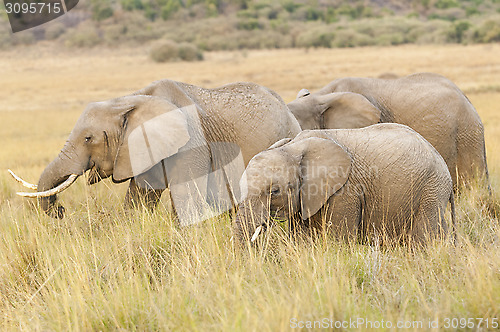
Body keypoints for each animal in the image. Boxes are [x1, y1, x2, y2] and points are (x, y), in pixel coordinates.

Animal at [11, 80, 300, 226]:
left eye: (88, 138)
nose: (60, 211)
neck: (130, 98)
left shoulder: (191, 140)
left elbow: (186, 197)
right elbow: (140, 197)